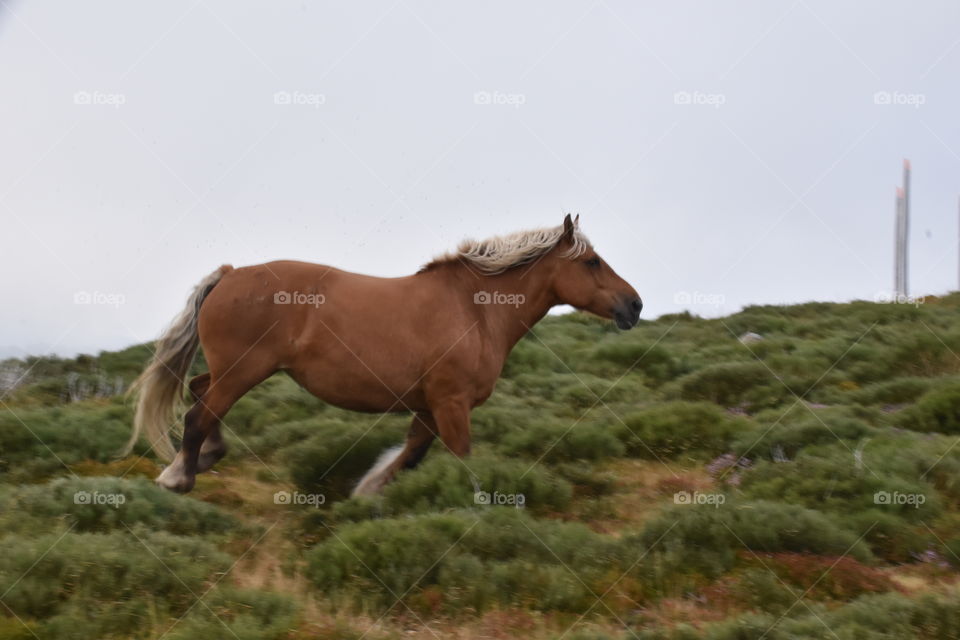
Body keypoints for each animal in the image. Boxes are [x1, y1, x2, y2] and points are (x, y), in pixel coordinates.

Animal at [125, 215, 642, 495]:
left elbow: (410, 456)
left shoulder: (430, 406)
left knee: (199, 395)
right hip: (243, 370)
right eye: (591, 262)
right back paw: (179, 478)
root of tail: (230, 274)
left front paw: (366, 492)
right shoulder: (451, 403)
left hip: (232, 371)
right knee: (199, 414)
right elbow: (463, 462)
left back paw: (194, 462)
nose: (634, 305)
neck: (475, 309)